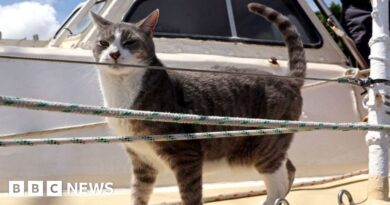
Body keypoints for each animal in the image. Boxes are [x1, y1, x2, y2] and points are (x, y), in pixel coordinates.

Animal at [90, 2, 304, 205]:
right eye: (103, 43)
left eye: (130, 42)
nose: (114, 53)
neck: (122, 91)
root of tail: (288, 80)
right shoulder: (142, 161)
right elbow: (138, 193)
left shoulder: (186, 155)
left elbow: (190, 195)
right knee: (289, 168)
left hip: (266, 146)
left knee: (277, 181)